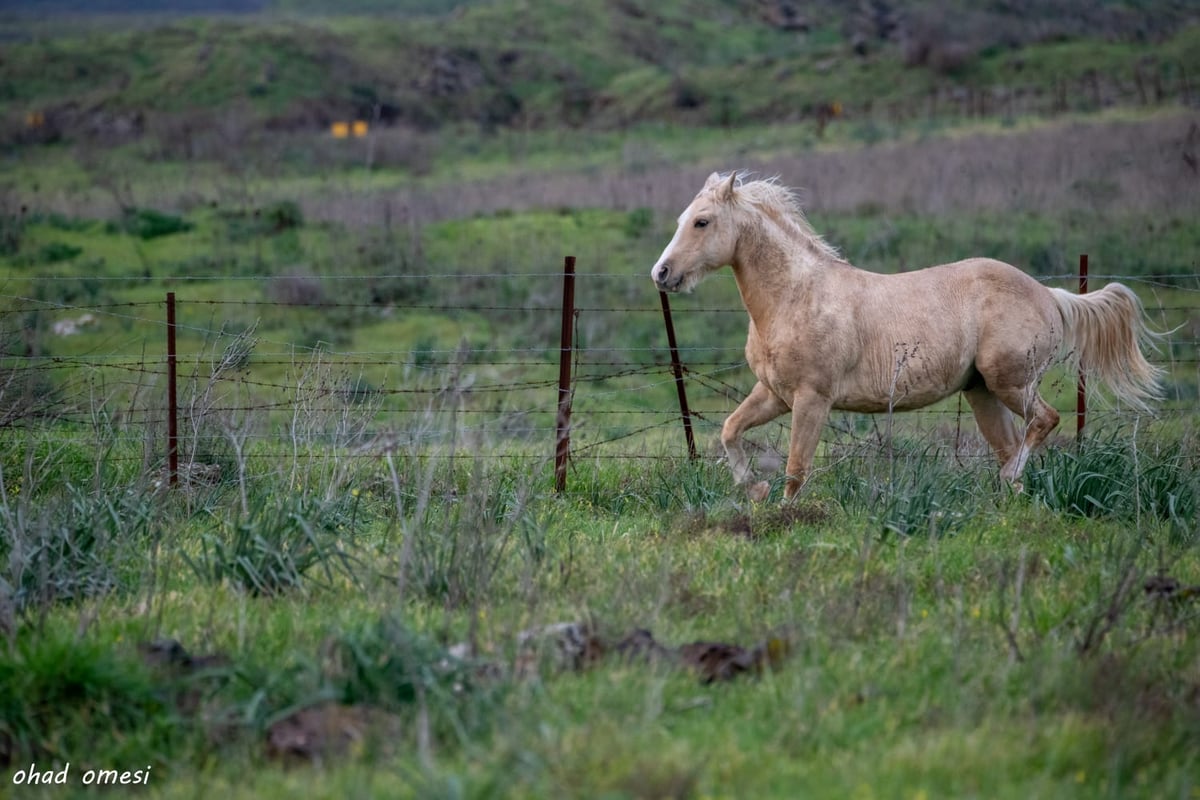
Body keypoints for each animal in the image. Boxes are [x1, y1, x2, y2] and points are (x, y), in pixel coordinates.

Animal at [652, 173, 1166, 501]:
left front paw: (784, 516)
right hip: (982, 392)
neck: (796, 296)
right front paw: (755, 490)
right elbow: (730, 431)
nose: (662, 273)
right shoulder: (774, 393)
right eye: (680, 219)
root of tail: (1050, 295)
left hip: (1011, 382)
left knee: (1045, 422)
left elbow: (797, 469)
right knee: (1013, 448)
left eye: (702, 221)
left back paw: (1004, 482)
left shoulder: (812, 398)